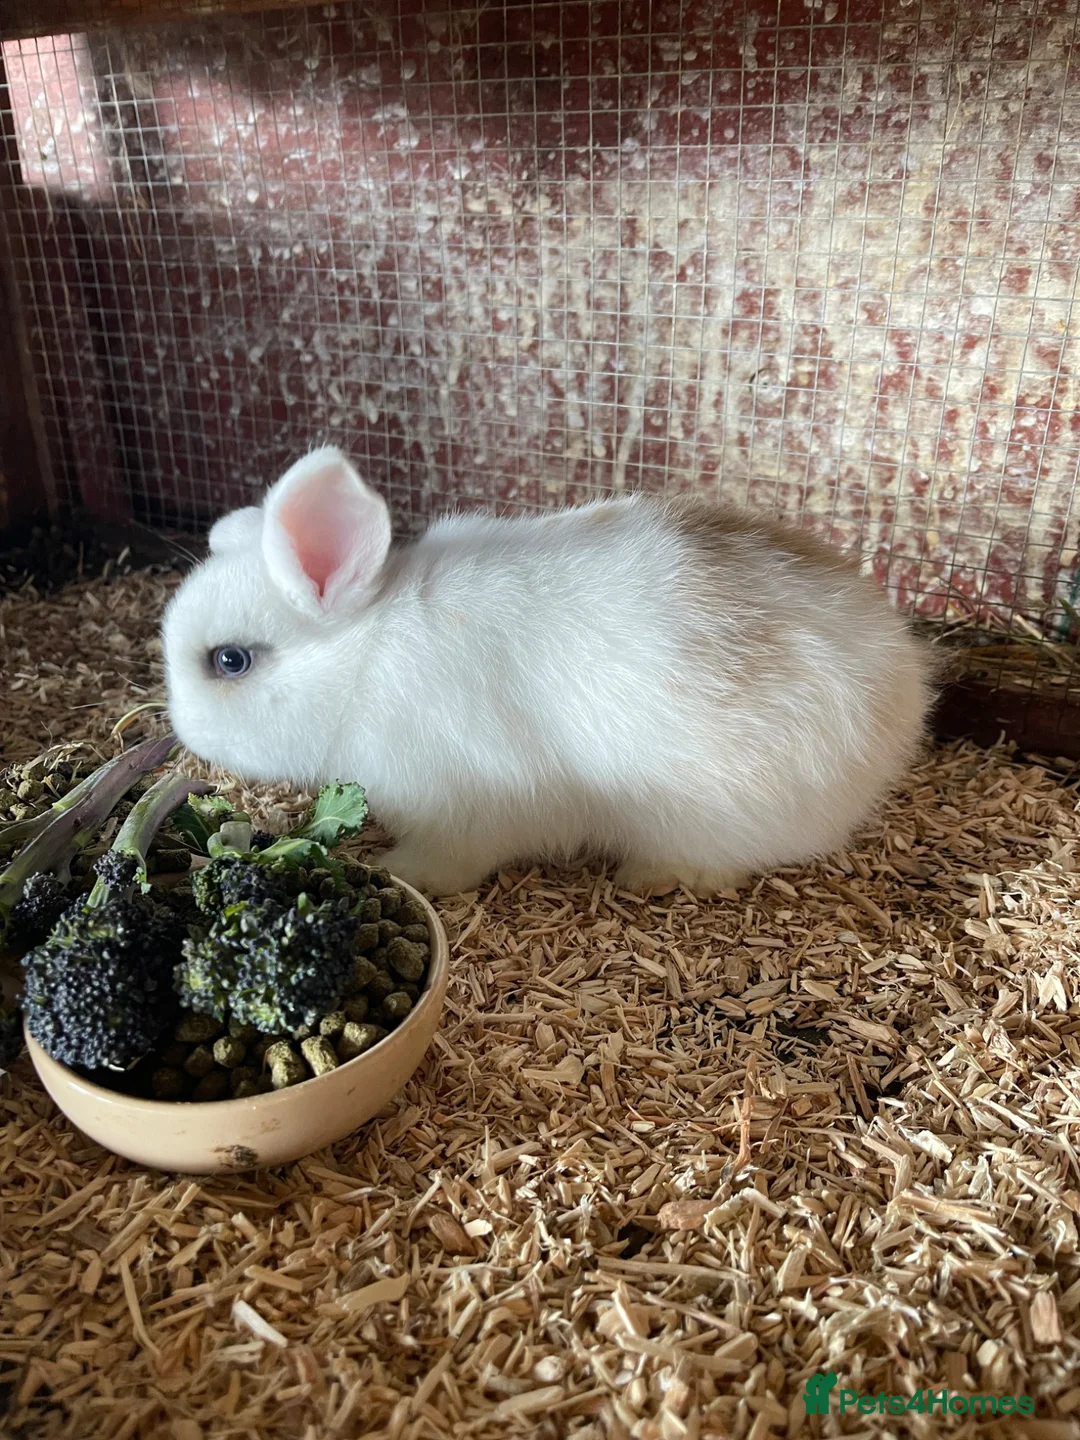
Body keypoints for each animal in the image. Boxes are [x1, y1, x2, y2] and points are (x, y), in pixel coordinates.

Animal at [162, 446, 935, 898]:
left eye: (229, 661)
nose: (182, 731)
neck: (364, 657)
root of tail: (903, 688)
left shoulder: (464, 807)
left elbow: (449, 861)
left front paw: (398, 874)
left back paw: (653, 876)